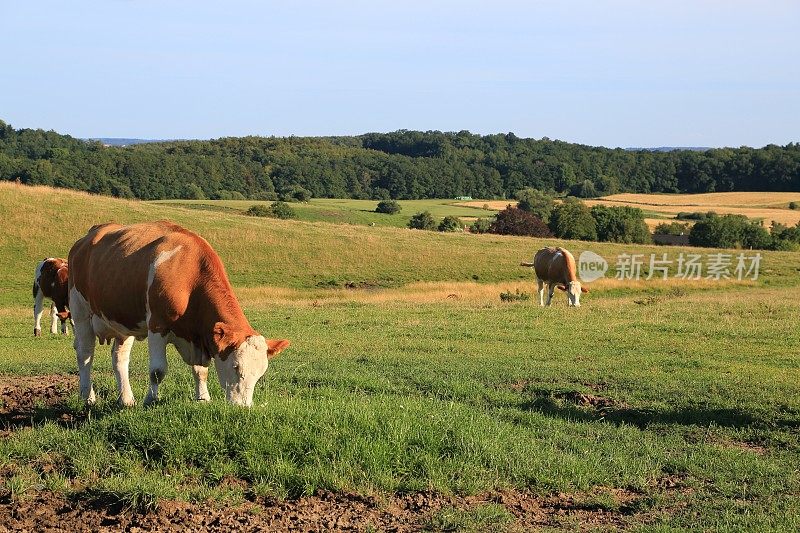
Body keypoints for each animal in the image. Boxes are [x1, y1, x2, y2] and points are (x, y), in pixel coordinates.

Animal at [69, 220, 290, 408]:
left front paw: (203, 398)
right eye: (236, 367)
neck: (190, 278)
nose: (243, 407)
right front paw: (150, 400)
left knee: (119, 358)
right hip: (80, 311)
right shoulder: (157, 325)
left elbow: (201, 370)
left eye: (260, 373)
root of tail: (89, 236)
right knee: (85, 354)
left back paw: (126, 399)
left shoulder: (198, 337)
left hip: (123, 320)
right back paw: (87, 396)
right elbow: (157, 371)